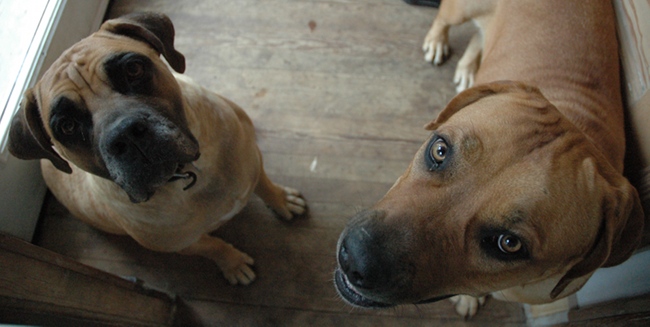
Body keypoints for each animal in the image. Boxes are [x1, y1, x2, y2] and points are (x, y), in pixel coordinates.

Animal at [8, 12, 306, 284]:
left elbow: (264, 185)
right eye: (67, 125)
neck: (188, 177)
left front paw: (281, 200)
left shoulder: (252, 161)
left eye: (133, 69)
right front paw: (232, 263)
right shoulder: (184, 244)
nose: (125, 134)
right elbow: (213, 247)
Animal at [334, 0, 644, 320]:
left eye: (508, 244)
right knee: (445, 18)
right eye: (440, 150)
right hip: (462, 10)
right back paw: (437, 41)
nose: (355, 256)